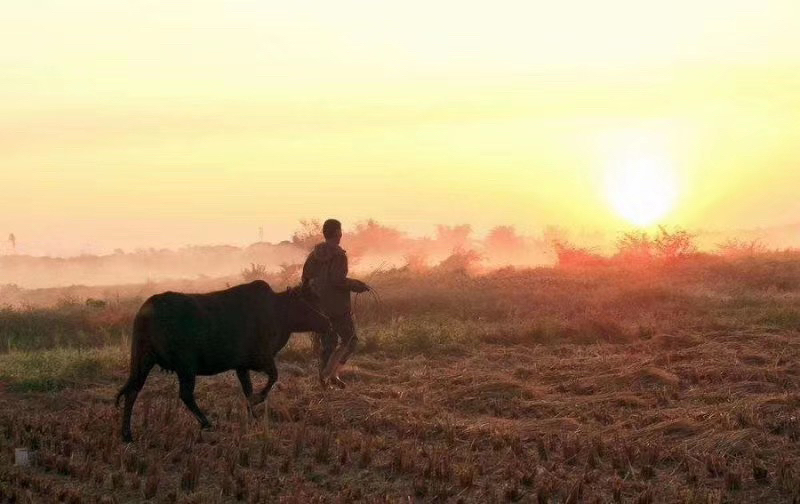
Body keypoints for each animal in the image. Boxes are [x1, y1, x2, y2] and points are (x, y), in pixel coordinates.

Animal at [115, 280, 331, 442]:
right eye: (305, 303)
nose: (327, 322)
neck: (277, 314)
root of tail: (147, 310)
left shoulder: (242, 366)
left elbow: (248, 389)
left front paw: (253, 416)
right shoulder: (262, 358)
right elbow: (271, 378)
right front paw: (256, 402)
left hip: (143, 360)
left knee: (133, 390)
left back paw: (127, 434)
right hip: (185, 366)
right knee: (185, 395)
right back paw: (206, 423)